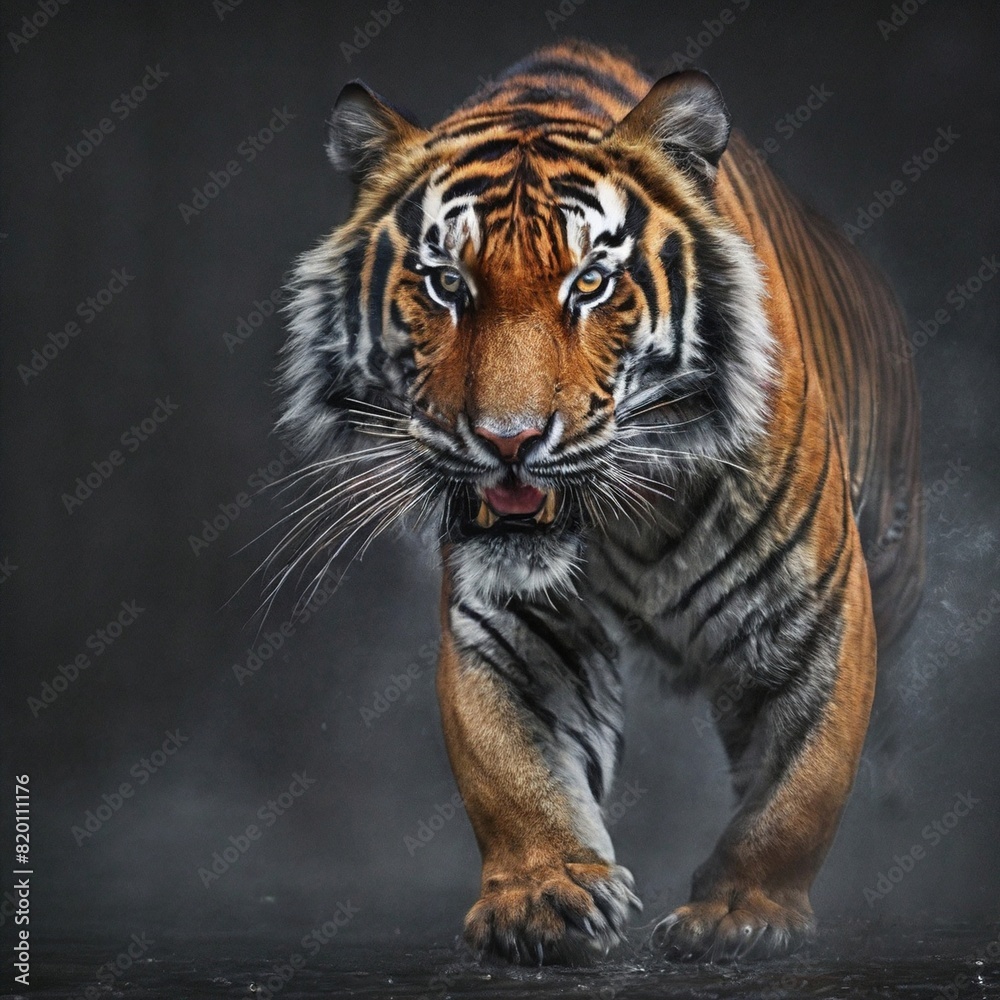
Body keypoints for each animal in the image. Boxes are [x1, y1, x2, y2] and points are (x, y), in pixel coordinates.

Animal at [277, 40, 924, 963]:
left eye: (589, 284)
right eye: (445, 285)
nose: (509, 440)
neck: (632, 517)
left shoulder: (812, 609)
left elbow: (799, 782)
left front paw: (742, 913)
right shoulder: (514, 626)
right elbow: (514, 770)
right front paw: (545, 893)